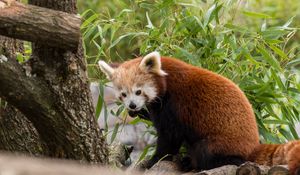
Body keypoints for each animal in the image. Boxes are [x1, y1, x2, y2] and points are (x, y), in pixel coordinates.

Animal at [98, 51, 300, 174]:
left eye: (139, 91)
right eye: (124, 94)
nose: (132, 105)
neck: (165, 79)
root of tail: (253, 145)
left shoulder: (174, 105)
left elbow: (170, 137)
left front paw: (154, 160)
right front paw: (140, 113)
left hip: (221, 142)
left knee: (207, 152)